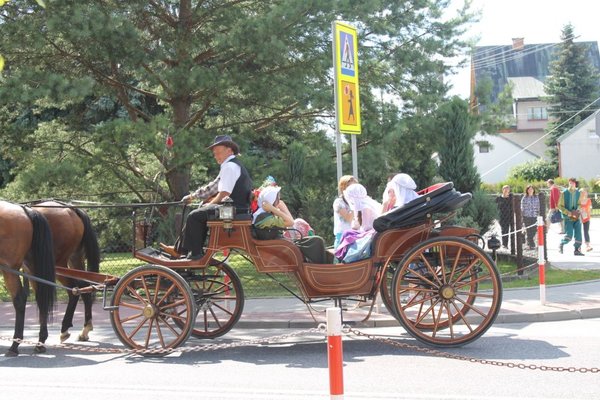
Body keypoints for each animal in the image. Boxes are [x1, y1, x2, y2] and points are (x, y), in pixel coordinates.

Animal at [0, 200, 56, 356]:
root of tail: (25, 209)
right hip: (31, 268)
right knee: (41, 298)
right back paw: (40, 342)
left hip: (10, 268)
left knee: (19, 299)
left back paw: (15, 345)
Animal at [34, 202, 101, 342]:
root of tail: (70, 209)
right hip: (75, 258)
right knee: (83, 287)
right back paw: (85, 329)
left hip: (58, 264)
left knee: (73, 290)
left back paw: (65, 328)